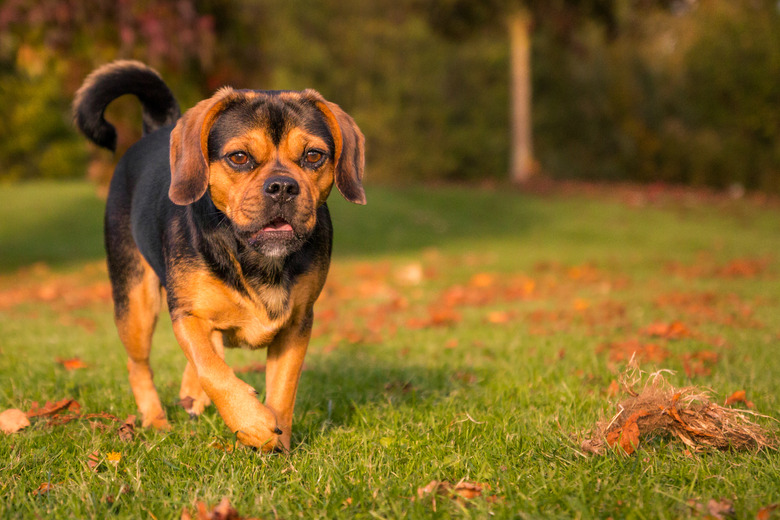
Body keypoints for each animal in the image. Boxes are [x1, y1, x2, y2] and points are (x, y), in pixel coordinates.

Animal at [73, 61, 366, 450]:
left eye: (314, 155)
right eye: (239, 157)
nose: (282, 187)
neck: (255, 256)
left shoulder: (297, 323)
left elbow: (283, 391)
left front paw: (279, 442)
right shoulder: (186, 313)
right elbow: (211, 369)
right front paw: (252, 422)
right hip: (135, 302)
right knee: (140, 366)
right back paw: (156, 421)